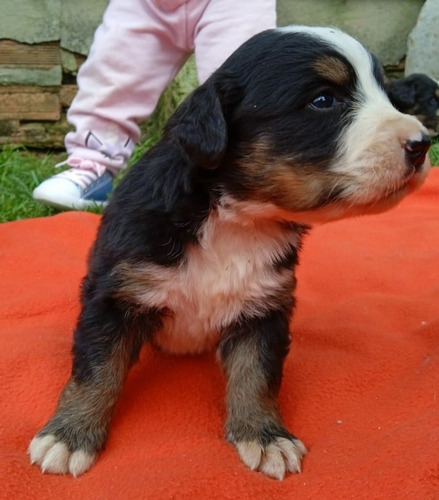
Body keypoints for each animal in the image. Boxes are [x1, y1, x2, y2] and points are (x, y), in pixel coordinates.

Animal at [29, 27, 432, 480]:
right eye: (323, 100)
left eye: (387, 93)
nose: (422, 143)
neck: (236, 221)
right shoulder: (115, 293)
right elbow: (96, 369)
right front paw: (68, 435)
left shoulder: (264, 307)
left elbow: (256, 374)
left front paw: (264, 435)